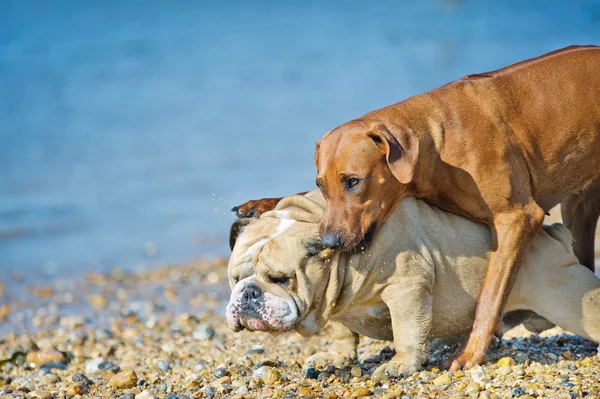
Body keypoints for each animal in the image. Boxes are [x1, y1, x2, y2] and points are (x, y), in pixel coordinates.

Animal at [233, 47, 600, 372]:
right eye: (321, 184)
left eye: (354, 181)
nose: (330, 242)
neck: (440, 142)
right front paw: (260, 204)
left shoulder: (517, 218)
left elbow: (489, 296)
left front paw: (471, 351)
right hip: (580, 205)